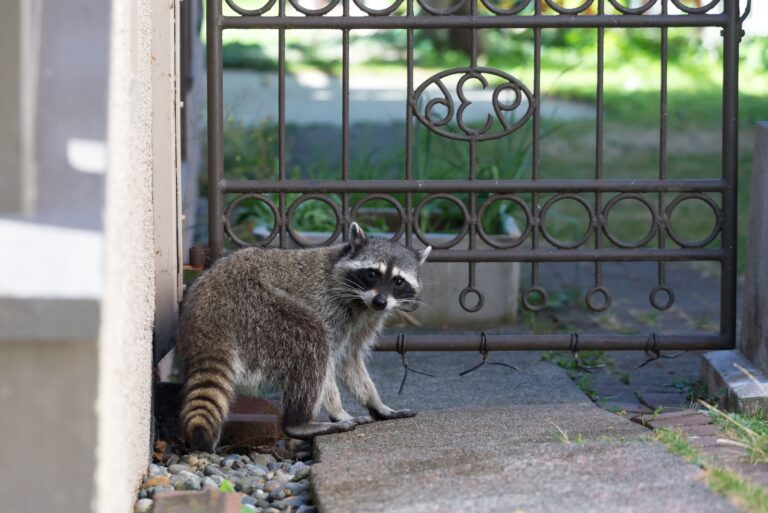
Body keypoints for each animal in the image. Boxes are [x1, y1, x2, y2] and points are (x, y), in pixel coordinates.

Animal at [177, 222, 431, 451]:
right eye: (371, 273)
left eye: (398, 281)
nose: (380, 301)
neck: (361, 301)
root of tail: (209, 310)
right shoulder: (327, 305)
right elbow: (329, 362)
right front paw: (338, 411)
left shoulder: (364, 321)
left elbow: (350, 361)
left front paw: (377, 404)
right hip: (257, 307)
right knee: (312, 340)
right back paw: (300, 422)